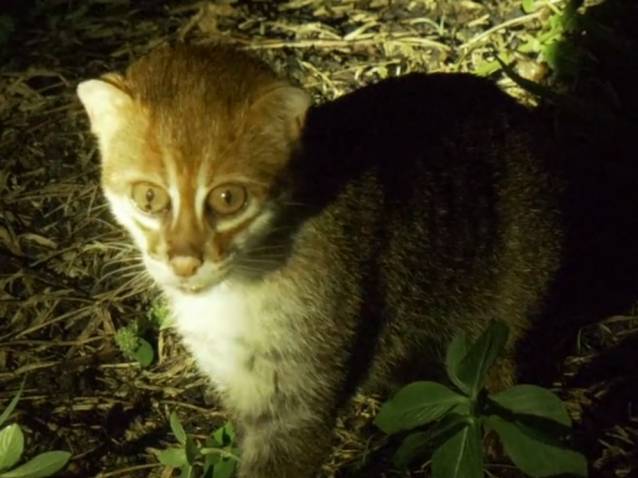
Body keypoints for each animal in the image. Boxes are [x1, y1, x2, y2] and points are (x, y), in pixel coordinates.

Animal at [77, 44, 564, 478]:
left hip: (510, 298)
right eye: (148, 197)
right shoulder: (240, 386)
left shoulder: (299, 395)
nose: (184, 262)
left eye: (229, 198)